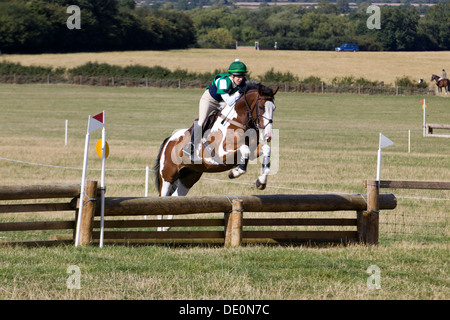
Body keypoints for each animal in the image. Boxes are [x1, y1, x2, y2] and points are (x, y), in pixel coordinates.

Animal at [152, 81, 278, 229]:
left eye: (274, 108)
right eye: (261, 107)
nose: (269, 135)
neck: (238, 122)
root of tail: (169, 140)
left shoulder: (253, 151)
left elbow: (265, 150)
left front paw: (261, 182)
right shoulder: (222, 154)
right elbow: (244, 150)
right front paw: (235, 172)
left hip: (189, 177)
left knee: (177, 198)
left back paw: (167, 227)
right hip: (168, 175)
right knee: (162, 198)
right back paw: (161, 227)